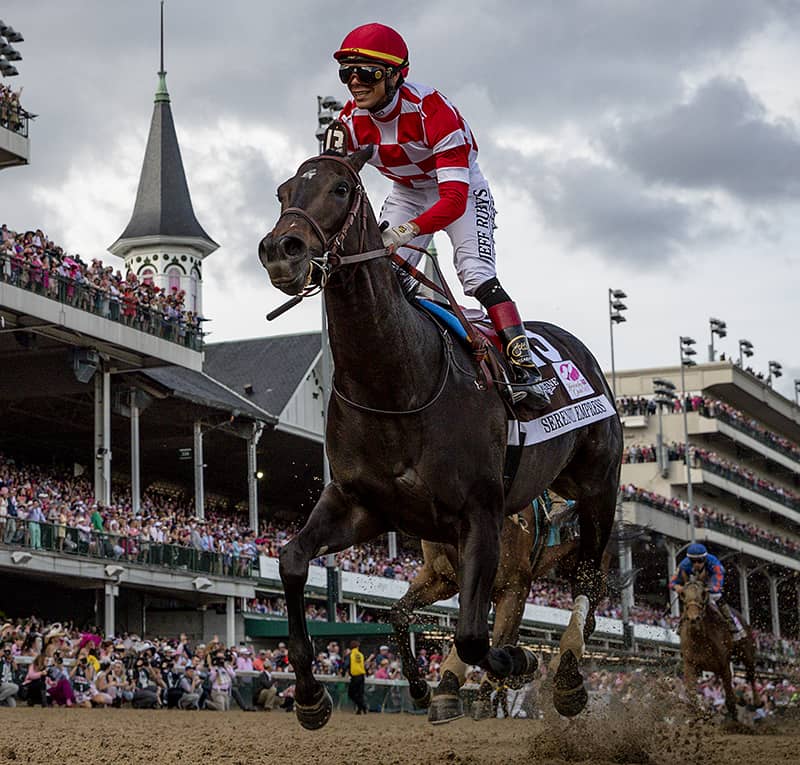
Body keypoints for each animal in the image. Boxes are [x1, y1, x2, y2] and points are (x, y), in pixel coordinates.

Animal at [260, 149, 620, 728]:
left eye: (341, 188)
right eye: (283, 192)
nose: (280, 251)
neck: (398, 379)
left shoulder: (482, 515)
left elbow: (474, 636)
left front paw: (514, 663)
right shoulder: (361, 502)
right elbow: (293, 560)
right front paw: (312, 694)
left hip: (597, 488)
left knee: (588, 578)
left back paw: (565, 674)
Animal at [680, 580, 760, 716]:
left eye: (703, 593)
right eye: (683, 594)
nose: (693, 619)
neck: (701, 639)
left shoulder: (724, 663)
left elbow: (730, 699)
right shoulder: (690, 664)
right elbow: (691, 694)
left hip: (746, 652)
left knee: (751, 673)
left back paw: (756, 700)